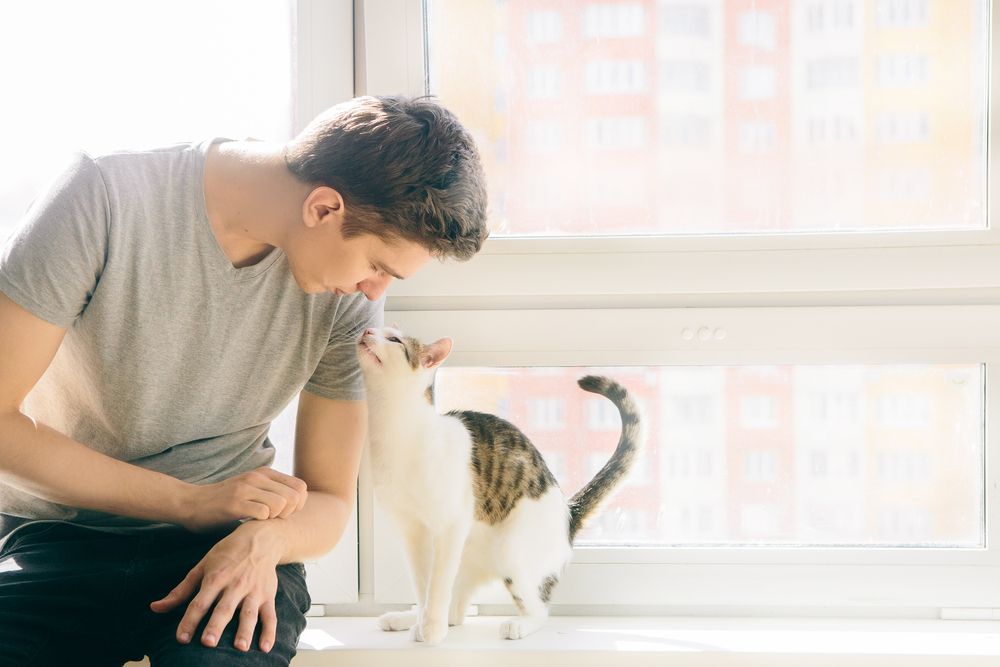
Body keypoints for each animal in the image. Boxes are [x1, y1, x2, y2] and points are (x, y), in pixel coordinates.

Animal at [360, 326, 640, 644]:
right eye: (378, 331)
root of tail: (568, 513)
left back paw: (518, 624)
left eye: (394, 340)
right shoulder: (412, 531)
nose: (367, 329)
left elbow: (437, 583)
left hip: (510, 550)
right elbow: (424, 585)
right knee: (455, 612)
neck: (395, 431)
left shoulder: (451, 523)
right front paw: (423, 621)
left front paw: (430, 629)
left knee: (538, 612)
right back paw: (406, 618)